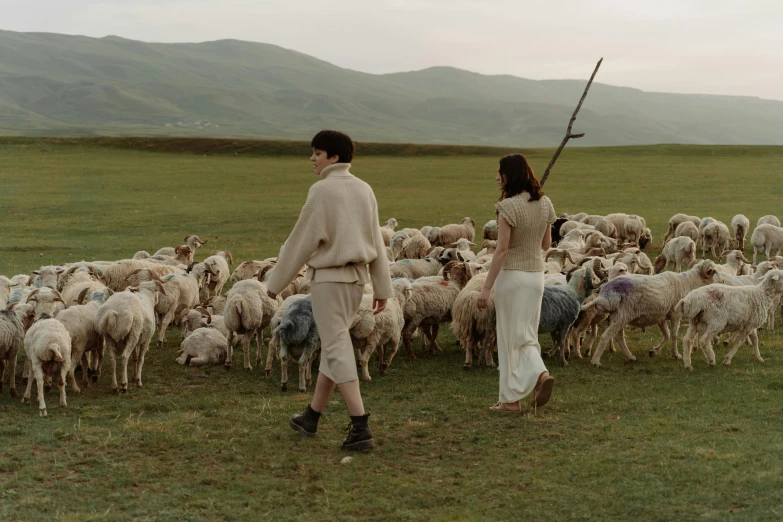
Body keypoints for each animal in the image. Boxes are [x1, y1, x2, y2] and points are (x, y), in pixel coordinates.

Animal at [584, 256, 720, 364]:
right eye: (713, 272)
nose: (721, 283)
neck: (688, 282)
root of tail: (606, 292)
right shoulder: (675, 314)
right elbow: (674, 335)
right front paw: (676, 355)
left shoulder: (661, 316)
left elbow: (667, 335)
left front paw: (654, 351)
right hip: (622, 316)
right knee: (606, 336)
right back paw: (595, 361)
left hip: (619, 316)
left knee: (619, 337)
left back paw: (630, 357)